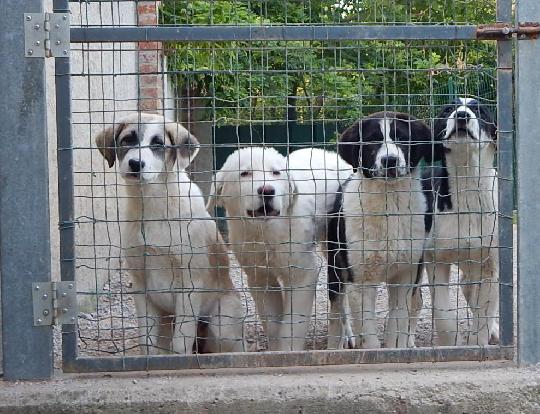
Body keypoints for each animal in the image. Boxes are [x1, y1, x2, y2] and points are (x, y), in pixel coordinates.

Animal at [96, 112, 246, 352]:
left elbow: (180, 343)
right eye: (128, 139)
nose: (135, 164)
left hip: (222, 326)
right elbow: (146, 342)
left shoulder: (190, 283)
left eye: (158, 144)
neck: (152, 204)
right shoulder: (140, 285)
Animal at [206, 147, 350, 350]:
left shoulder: (303, 275)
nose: (267, 191)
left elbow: (292, 326)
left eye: (275, 173)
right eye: (245, 173)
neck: (266, 232)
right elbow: (273, 326)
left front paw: (289, 351)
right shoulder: (260, 279)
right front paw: (276, 350)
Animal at [326, 111, 440, 348]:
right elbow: (368, 336)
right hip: (335, 271)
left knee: (416, 303)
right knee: (336, 314)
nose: (390, 160)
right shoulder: (359, 281)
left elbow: (398, 323)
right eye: (371, 140)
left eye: (402, 138)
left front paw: (398, 348)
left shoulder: (405, 275)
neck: (389, 203)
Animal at [424, 98, 500, 346]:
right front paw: (453, 343)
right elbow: (442, 314)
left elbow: (484, 314)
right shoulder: (435, 261)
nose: (462, 115)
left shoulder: (490, 267)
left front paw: (478, 343)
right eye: (448, 109)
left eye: (480, 111)